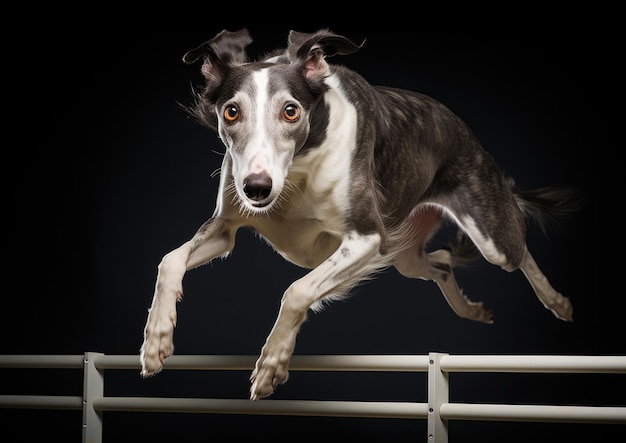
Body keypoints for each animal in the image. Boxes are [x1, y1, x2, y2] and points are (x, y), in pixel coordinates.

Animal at [139, 29, 576, 400]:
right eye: (231, 112)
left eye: (291, 111)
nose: (257, 188)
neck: (298, 171)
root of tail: (467, 133)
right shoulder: (225, 227)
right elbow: (168, 260)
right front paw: (156, 340)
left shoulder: (366, 238)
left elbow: (297, 290)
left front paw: (270, 365)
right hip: (406, 257)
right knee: (442, 261)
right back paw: (471, 309)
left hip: (488, 233)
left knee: (520, 253)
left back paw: (558, 302)